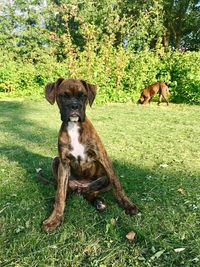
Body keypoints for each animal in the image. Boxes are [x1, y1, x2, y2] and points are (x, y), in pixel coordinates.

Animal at [43, 78, 138, 232]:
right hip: (56, 162)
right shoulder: (64, 163)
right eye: (63, 96)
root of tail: (80, 187)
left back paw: (98, 202)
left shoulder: (103, 157)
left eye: (83, 95)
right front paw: (54, 219)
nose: (74, 106)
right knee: (66, 190)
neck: (74, 127)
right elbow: (60, 194)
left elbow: (117, 185)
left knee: (93, 191)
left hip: (103, 179)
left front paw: (128, 205)